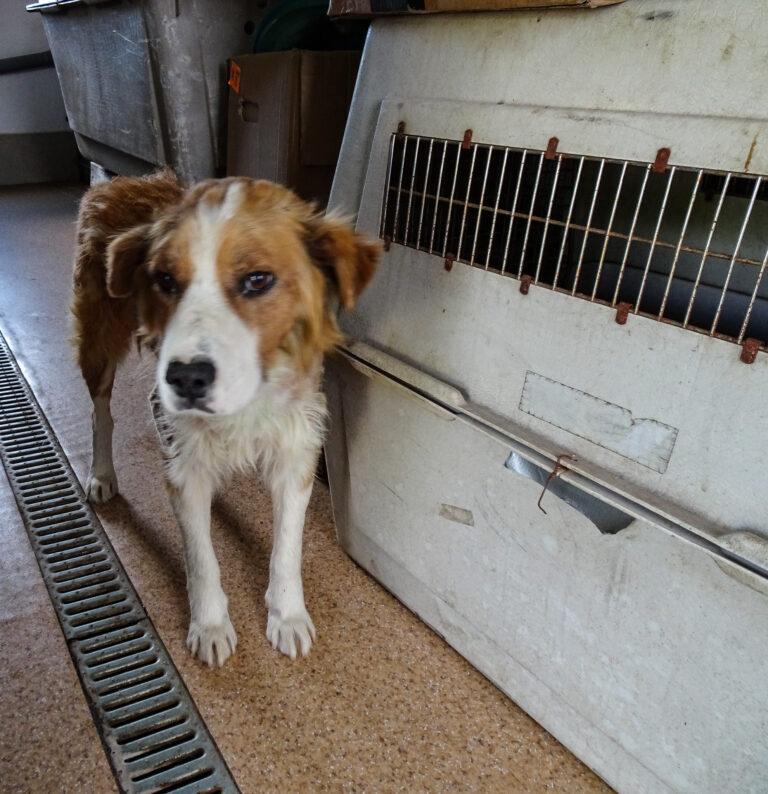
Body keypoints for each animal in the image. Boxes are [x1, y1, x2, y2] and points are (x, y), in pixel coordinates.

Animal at [73, 172, 380, 664]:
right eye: (164, 279)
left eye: (258, 280)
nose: (185, 378)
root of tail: (124, 178)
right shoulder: (186, 466)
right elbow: (201, 557)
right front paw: (211, 624)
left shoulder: (294, 451)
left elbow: (287, 547)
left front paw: (287, 615)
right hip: (99, 338)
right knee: (102, 411)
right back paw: (101, 473)